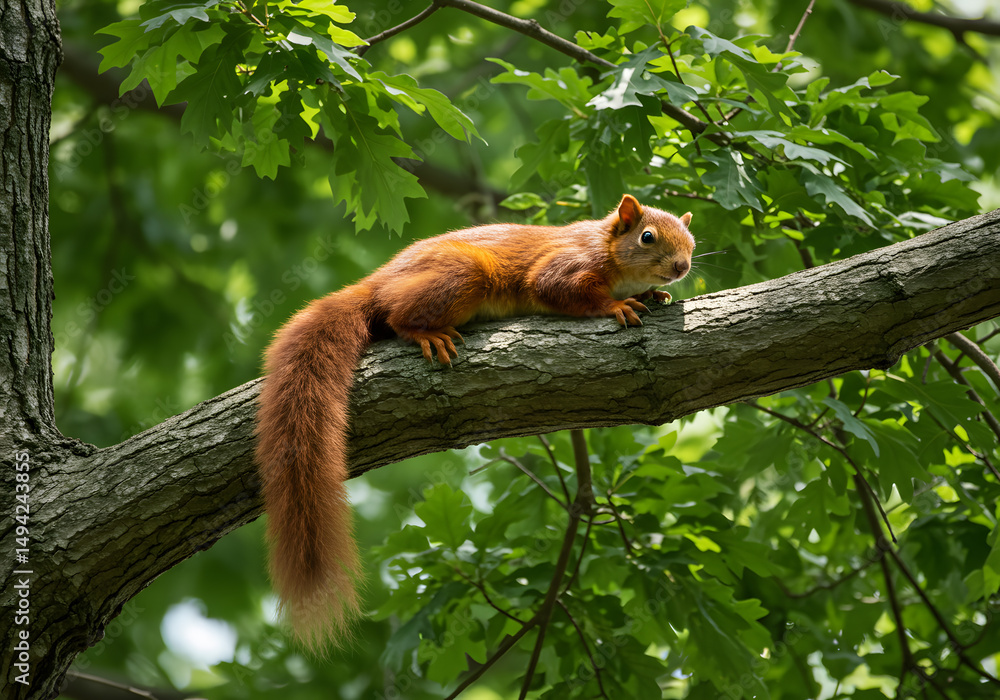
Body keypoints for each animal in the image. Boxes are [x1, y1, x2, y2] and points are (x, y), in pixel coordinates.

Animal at [254, 194, 694, 648]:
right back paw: (425, 332)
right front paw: (617, 305)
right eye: (647, 237)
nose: (682, 267)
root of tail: (378, 281)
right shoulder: (566, 265)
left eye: (692, 240)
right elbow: (559, 288)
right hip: (462, 276)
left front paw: (655, 292)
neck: (607, 249)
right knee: (396, 316)